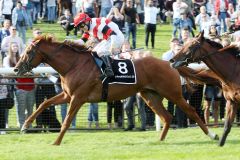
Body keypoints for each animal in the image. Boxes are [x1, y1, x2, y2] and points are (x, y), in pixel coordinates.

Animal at [13, 35, 219, 145]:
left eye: (29, 52)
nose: (16, 68)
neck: (73, 64)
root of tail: (170, 62)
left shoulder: (78, 97)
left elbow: (66, 121)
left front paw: (56, 142)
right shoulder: (67, 95)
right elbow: (44, 104)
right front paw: (25, 125)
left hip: (173, 93)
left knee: (190, 111)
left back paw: (213, 134)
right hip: (149, 95)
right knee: (167, 117)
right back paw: (159, 140)